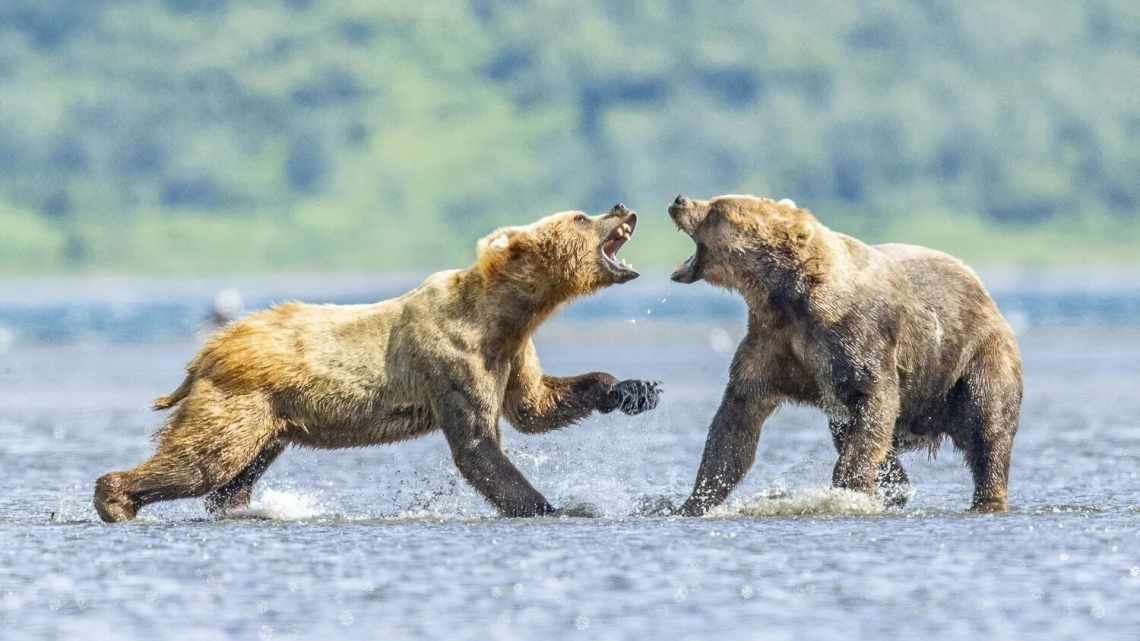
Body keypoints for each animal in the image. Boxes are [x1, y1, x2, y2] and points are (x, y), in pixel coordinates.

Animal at [93, 201, 665, 522]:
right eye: (581, 217)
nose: (622, 205)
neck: (505, 313)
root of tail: (210, 349)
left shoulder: (512, 349)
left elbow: (535, 406)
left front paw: (634, 389)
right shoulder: (453, 356)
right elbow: (479, 445)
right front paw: (554, 505)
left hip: (271, 418)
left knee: (234, 473)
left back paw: (239, 507)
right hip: (239, 400)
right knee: (204, 461)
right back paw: (115, 499)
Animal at [665, 191, 1026, 510]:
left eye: (717, 209)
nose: (679, 201)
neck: (785, 294)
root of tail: (984, 291)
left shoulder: (854, 332)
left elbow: (874, 401)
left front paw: (847, 489)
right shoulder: (770, 342)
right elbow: (736, 420)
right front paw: (694, 500)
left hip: (973, 356)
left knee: (988, 426)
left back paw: (987, 496)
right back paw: (897, 486)